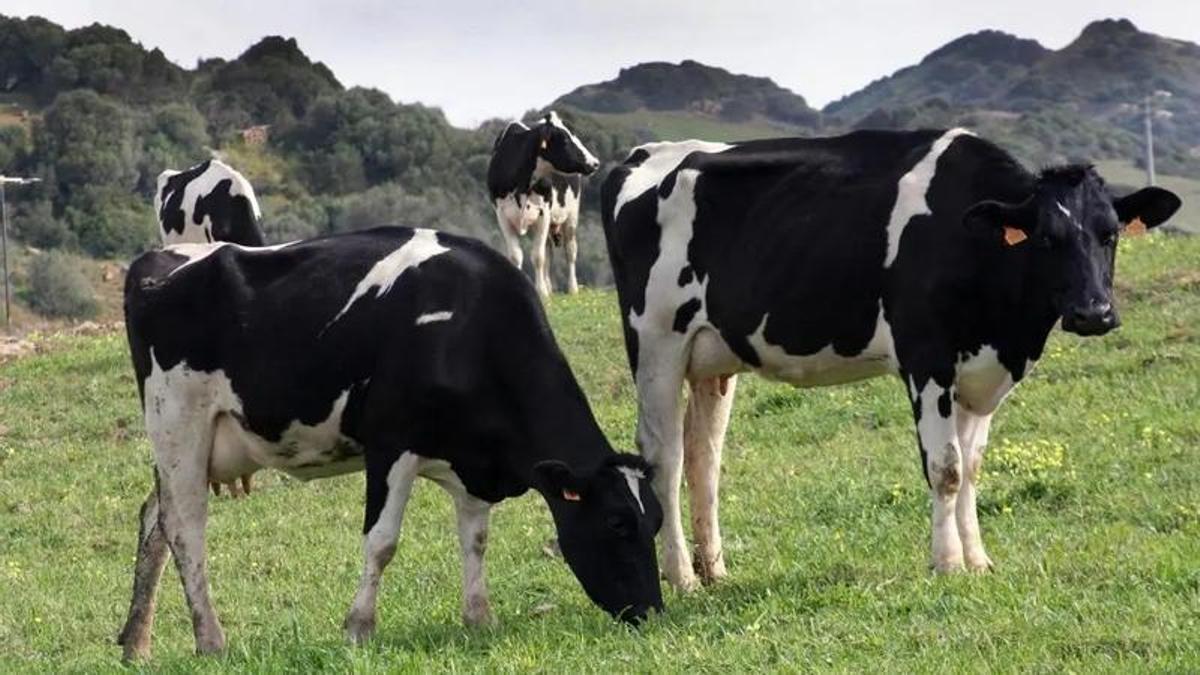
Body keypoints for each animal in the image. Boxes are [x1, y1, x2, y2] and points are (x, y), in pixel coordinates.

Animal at [116, 226, 664, 661]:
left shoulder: (472, 464)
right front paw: (358, 627)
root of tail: (158, 260)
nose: (654, 613)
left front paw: (479, 618)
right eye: (616, 524)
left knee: (154, 521)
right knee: (185, 529)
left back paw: (136, 643)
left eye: (655, 522)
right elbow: (381, 543)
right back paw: (210, 640)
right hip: (178, 424)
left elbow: (476, 539)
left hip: (192, 447)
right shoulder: (390, 444)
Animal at [487, 111, 599, 298]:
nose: (595, 162)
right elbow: (516, 256)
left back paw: (572, 288)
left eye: (574, 135)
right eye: (565, 139)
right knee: (549, 252)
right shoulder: (502, 214)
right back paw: (550, 287)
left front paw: (541, 293)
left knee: (570, 251)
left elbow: (538, 257)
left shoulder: (543, 213)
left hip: (571, 216)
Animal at [600, 128, 1181, 592]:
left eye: (1109, 233)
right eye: (1045, 237)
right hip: (656, 342)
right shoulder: (927, 358)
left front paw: (979, 561)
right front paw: (947, 564)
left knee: (704, 458)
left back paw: (714, 571)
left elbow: (972, 467)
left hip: (712, 356)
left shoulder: (981, 371)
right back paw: (681, 578)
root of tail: (644, 153)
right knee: (664, 457)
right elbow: (945, 468)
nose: (1093, 312)